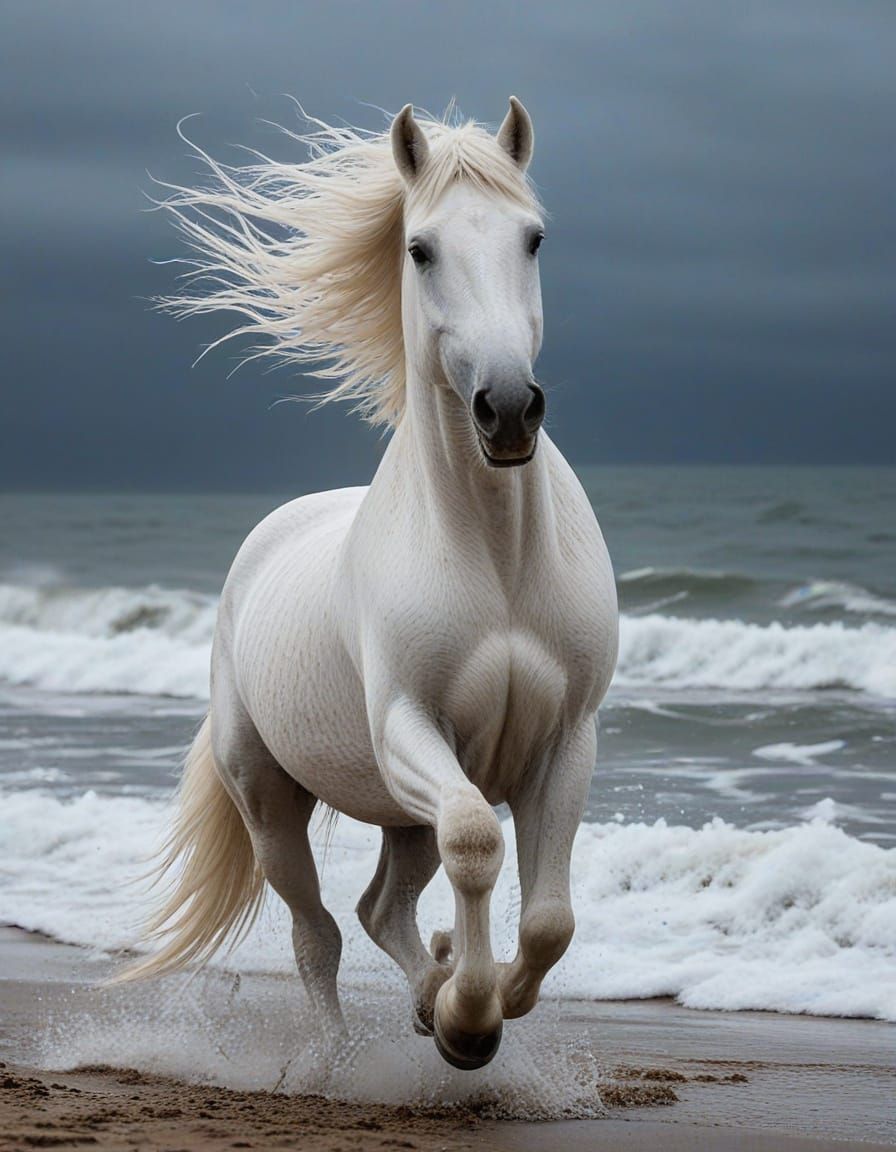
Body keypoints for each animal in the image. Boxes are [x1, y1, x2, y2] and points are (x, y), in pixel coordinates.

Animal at [124, 98, 619, 1072]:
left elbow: (548, 919)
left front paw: (468, 1001)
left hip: (397, 815)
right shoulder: (407, 728)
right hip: (271, 799)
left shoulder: (564, 741)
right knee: (318, 931)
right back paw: (338, 1061)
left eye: (534, 238)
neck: (495, 560)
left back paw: (430, 991)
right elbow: (477, 841)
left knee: (381, 906)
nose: (509, 409)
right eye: (420, 248)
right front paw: (469, 1019)